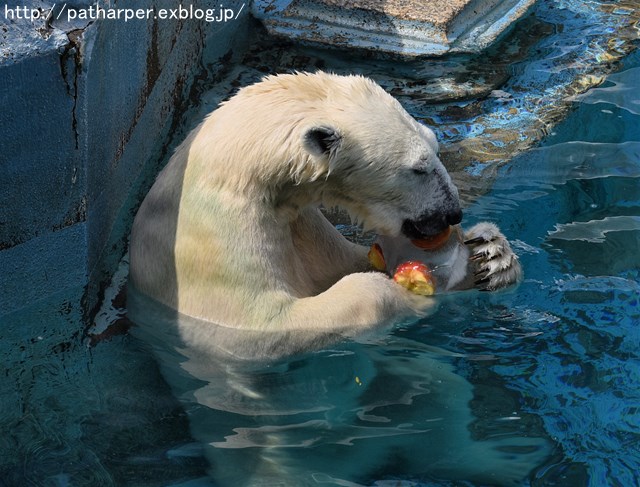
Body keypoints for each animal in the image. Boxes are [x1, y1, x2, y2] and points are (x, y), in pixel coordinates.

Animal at [129, 71, 520, 358]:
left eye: (436, 148)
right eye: (418, 168)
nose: (452, 212)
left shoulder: (301, 225)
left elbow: (347, 261)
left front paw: (490, 255)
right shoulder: (215, 244)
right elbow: (265, 323)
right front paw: (407, 293)